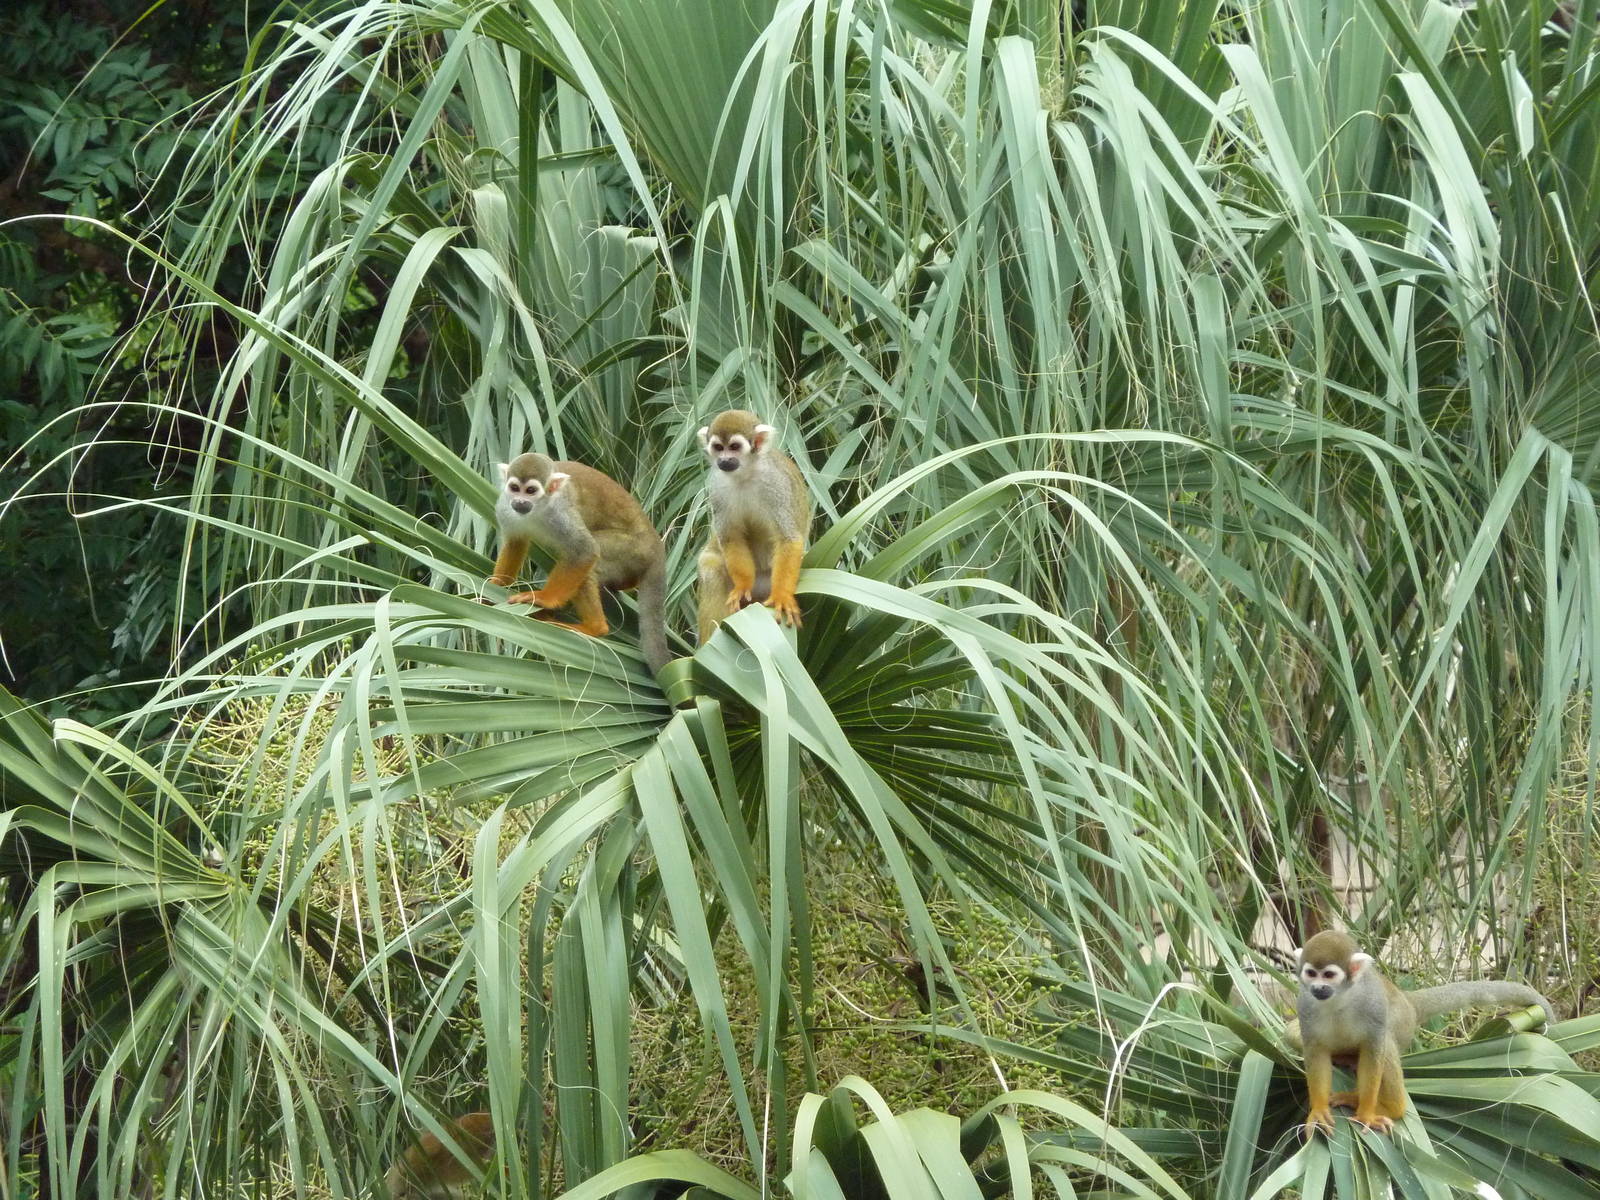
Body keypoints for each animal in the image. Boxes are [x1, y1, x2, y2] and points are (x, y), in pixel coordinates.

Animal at [488, 453, 671, 674]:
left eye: (531, 490)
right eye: (514, 488)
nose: (520, 501)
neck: (538, 509)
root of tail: (657, 547)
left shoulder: (560, 513)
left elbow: (584, 550)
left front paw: (544, 599)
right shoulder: (505, 507)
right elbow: (516, 542)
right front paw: (495, 585)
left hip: (633, 551)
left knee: (592, 561)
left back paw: (594, 627)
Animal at [695, 410, 813, 643]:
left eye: (734, 447)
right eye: (718, 447)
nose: (724, 460)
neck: (745, 474)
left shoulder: (776, 484)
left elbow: (788, 538)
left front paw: (782, 596)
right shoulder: (717, 486)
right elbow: (730, 537)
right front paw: (742, 585)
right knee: (711, 565)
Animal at [1293, 930, 1555, 1137]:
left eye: (1328, 975)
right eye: (1311, 973)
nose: (1318, 988)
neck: (1339, 1000)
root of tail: (1407, 1002)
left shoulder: (1373, 1004)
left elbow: (1374, 1048)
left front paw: (1366, 1113)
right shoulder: (1305, 1006)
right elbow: (1315, 1051)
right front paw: (1318, 1110)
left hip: (1401, 1024)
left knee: (1386, 1044)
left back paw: (1387, 1107)